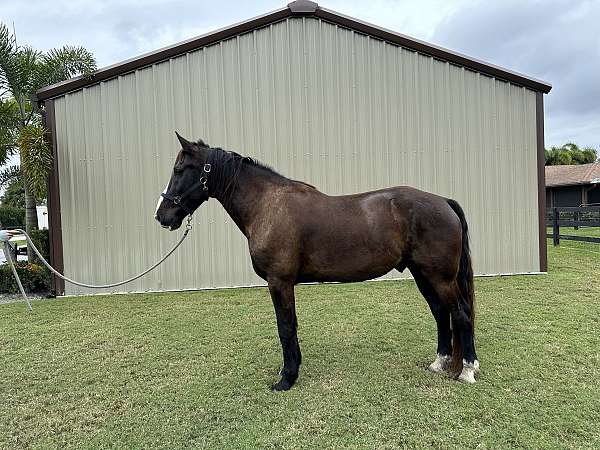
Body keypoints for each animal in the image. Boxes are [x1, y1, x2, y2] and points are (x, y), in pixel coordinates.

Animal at [157, 134, 480, 390]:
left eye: (179, 169)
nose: (162, 215)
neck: (267, 205)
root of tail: (443, 201)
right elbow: (289, 326)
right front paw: (289, 370)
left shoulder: (279, 282)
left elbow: (286, 327)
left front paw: (286, 379)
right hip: (423, 274)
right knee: (441, 313)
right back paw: (439, 364)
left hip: (439, 277)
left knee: (461, 315)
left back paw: (467, 370)